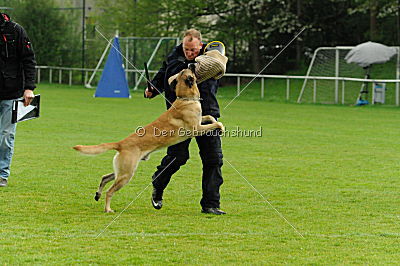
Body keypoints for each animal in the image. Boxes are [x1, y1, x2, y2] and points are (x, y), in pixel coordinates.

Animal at [73, 65, 223, 213]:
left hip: (123, 171)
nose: (192, 64)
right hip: (126, 174)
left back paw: (97, 195)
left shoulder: (200, 121)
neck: (185, 98)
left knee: (105, 178)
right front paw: (221, 128)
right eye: (188, 70)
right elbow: (216, 124)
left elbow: (209, 116)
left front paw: (215, 120)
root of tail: (120, 143)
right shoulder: (196, 129)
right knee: (109, 191)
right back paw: (108, 209)